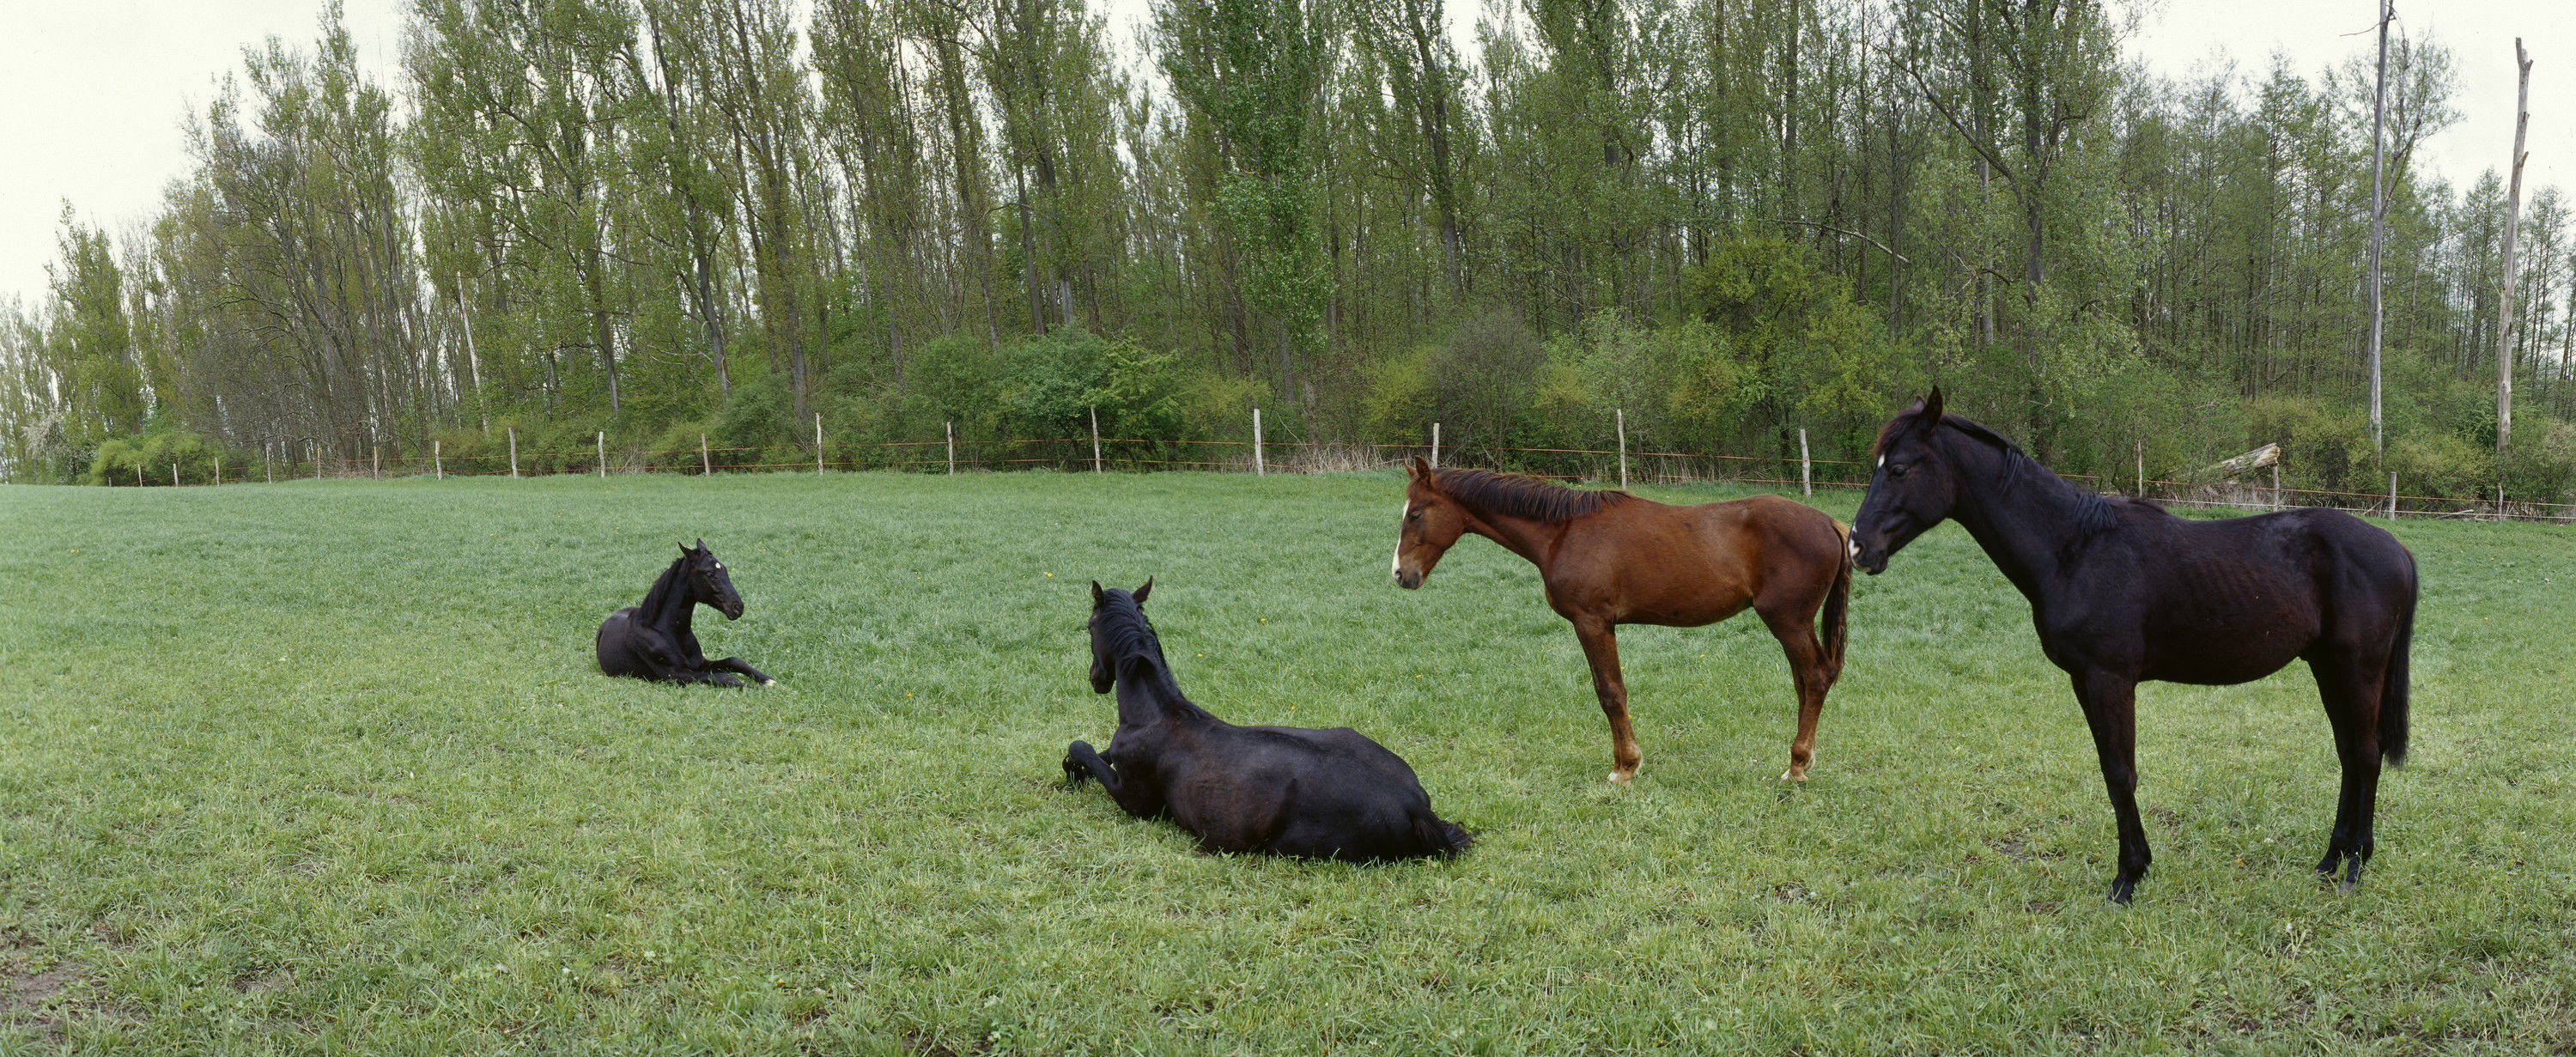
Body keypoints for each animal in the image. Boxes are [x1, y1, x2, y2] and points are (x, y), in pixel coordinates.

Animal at [595, 540, 777, 688]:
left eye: (724, 569)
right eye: (709, 574)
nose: (738, 607)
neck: (669, 632)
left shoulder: (701, 663)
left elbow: (734, 661)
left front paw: (767, 680)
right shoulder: (676, 675)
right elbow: (724, 677)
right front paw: (755, 688)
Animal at [1061, 579, 1473, 861]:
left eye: (1089, 626)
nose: (1096, 679)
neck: (1157, 712)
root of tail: (1414, 806)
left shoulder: (1133, 801)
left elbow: (1082, 747)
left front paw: (1072, 771)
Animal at [1392, 456, 1853, 785]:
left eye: (1415, 514)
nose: (1400, 574)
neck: (1563, 533)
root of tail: (1829, 522)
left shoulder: (1592, 622)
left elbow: (1611, 693)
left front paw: (1626, 769)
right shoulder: (1599, 625)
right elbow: (1608, 690)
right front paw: (1623, 763)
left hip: (1787, 621)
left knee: (1815, 677)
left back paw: (1796, 767)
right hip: (1793, 625)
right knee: (1804, 682)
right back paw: (1801, 760)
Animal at [1849, 388, 2417, 903]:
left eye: (1898, 469)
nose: (1857, 547)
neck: (2073, 550)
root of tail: (2396, 548)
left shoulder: (2110, 680)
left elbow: (2121, 774)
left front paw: (2127, 878)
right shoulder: (2085, 681)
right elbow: (2111, 771)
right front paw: (2135, 868)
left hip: (2358, 668)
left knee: (2366, 755)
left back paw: (2355, 867)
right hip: (2328, 666)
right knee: (2349, 754)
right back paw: (2331, 859)